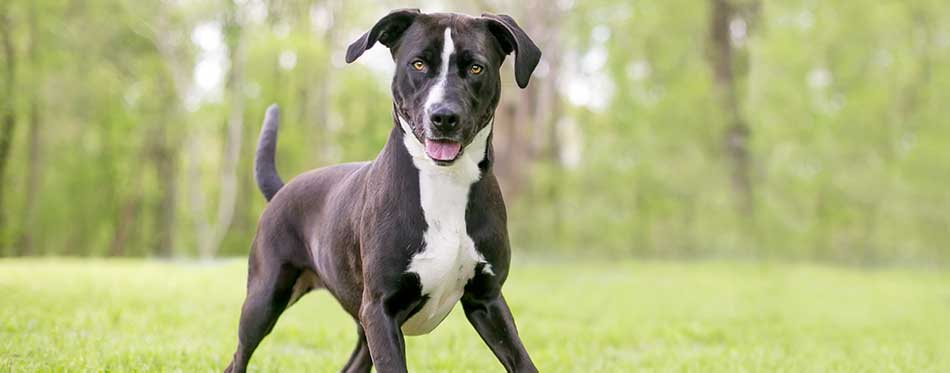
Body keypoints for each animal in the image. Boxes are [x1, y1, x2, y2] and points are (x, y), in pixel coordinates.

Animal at [224, 9, 548, 372]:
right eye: (418, 64)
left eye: (476, 67)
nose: (444, 116)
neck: (443, 182)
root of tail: (283, 189)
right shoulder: (380, 309)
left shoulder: (487, 300)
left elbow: (523, 361)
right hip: (264, 299)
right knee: (237, 358)